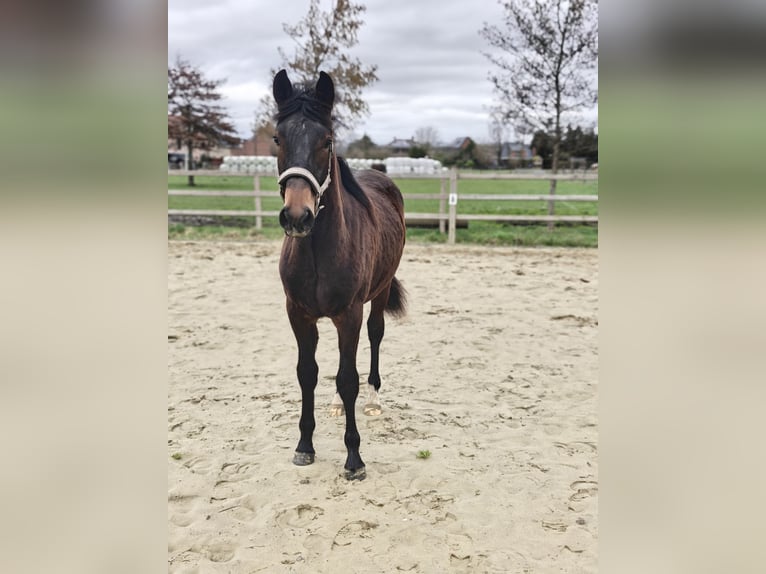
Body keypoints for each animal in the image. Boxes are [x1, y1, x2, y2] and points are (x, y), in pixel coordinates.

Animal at [272, 69, 407, 481]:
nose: (297, 217)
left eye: (327, 140)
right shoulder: (298, 314)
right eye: (277, 138)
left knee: (375, 337)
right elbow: (307, 373)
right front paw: (304, 446)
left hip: (379, 293)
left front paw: (354, 458)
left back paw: (375, 397)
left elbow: (350, 380)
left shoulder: (350, 313)